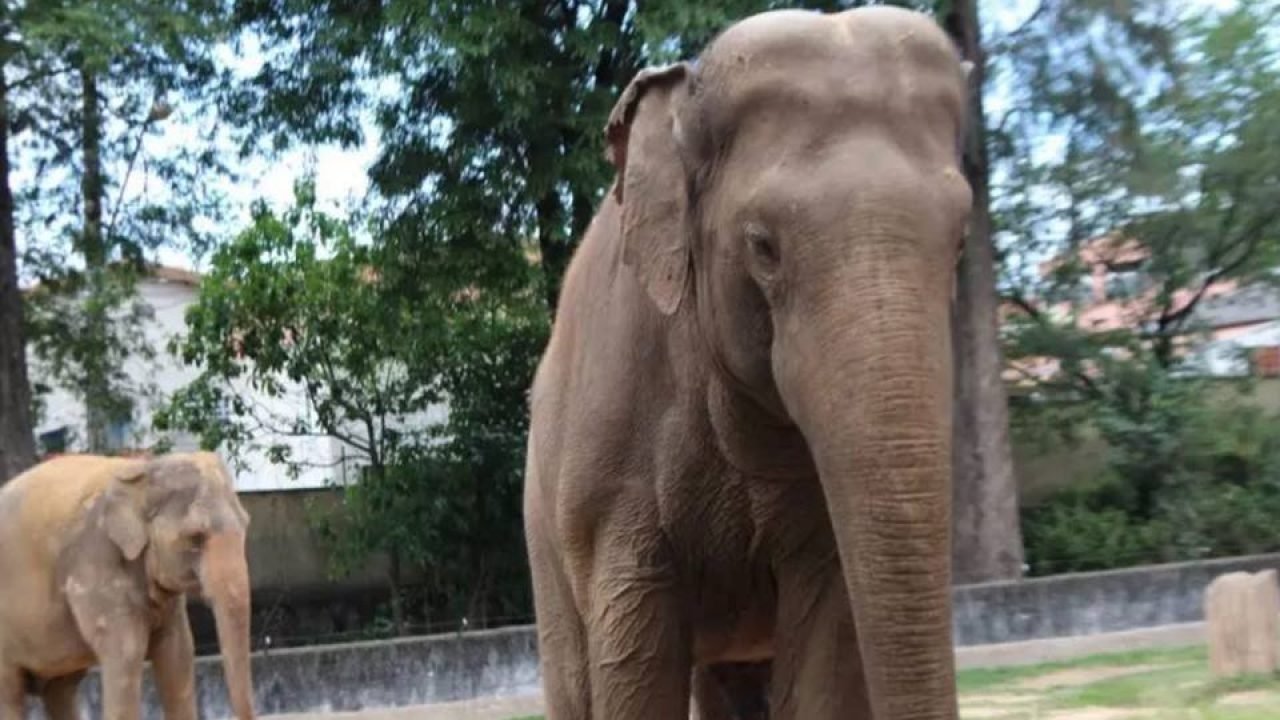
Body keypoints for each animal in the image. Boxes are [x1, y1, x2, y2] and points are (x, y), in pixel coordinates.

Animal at [0, 452, 256, 720]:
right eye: (195, 537)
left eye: (245, 525)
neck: (144, 469)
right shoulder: (94, 559)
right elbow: (128, 652)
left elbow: (179, 650)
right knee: (11, 691)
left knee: (61, 690)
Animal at [523, 6, 972, 720]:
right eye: (763, 246)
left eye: (960, 240)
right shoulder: (608, 468)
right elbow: (634, 664)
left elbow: (825, 661)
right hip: (542, 528)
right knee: (573, 679)